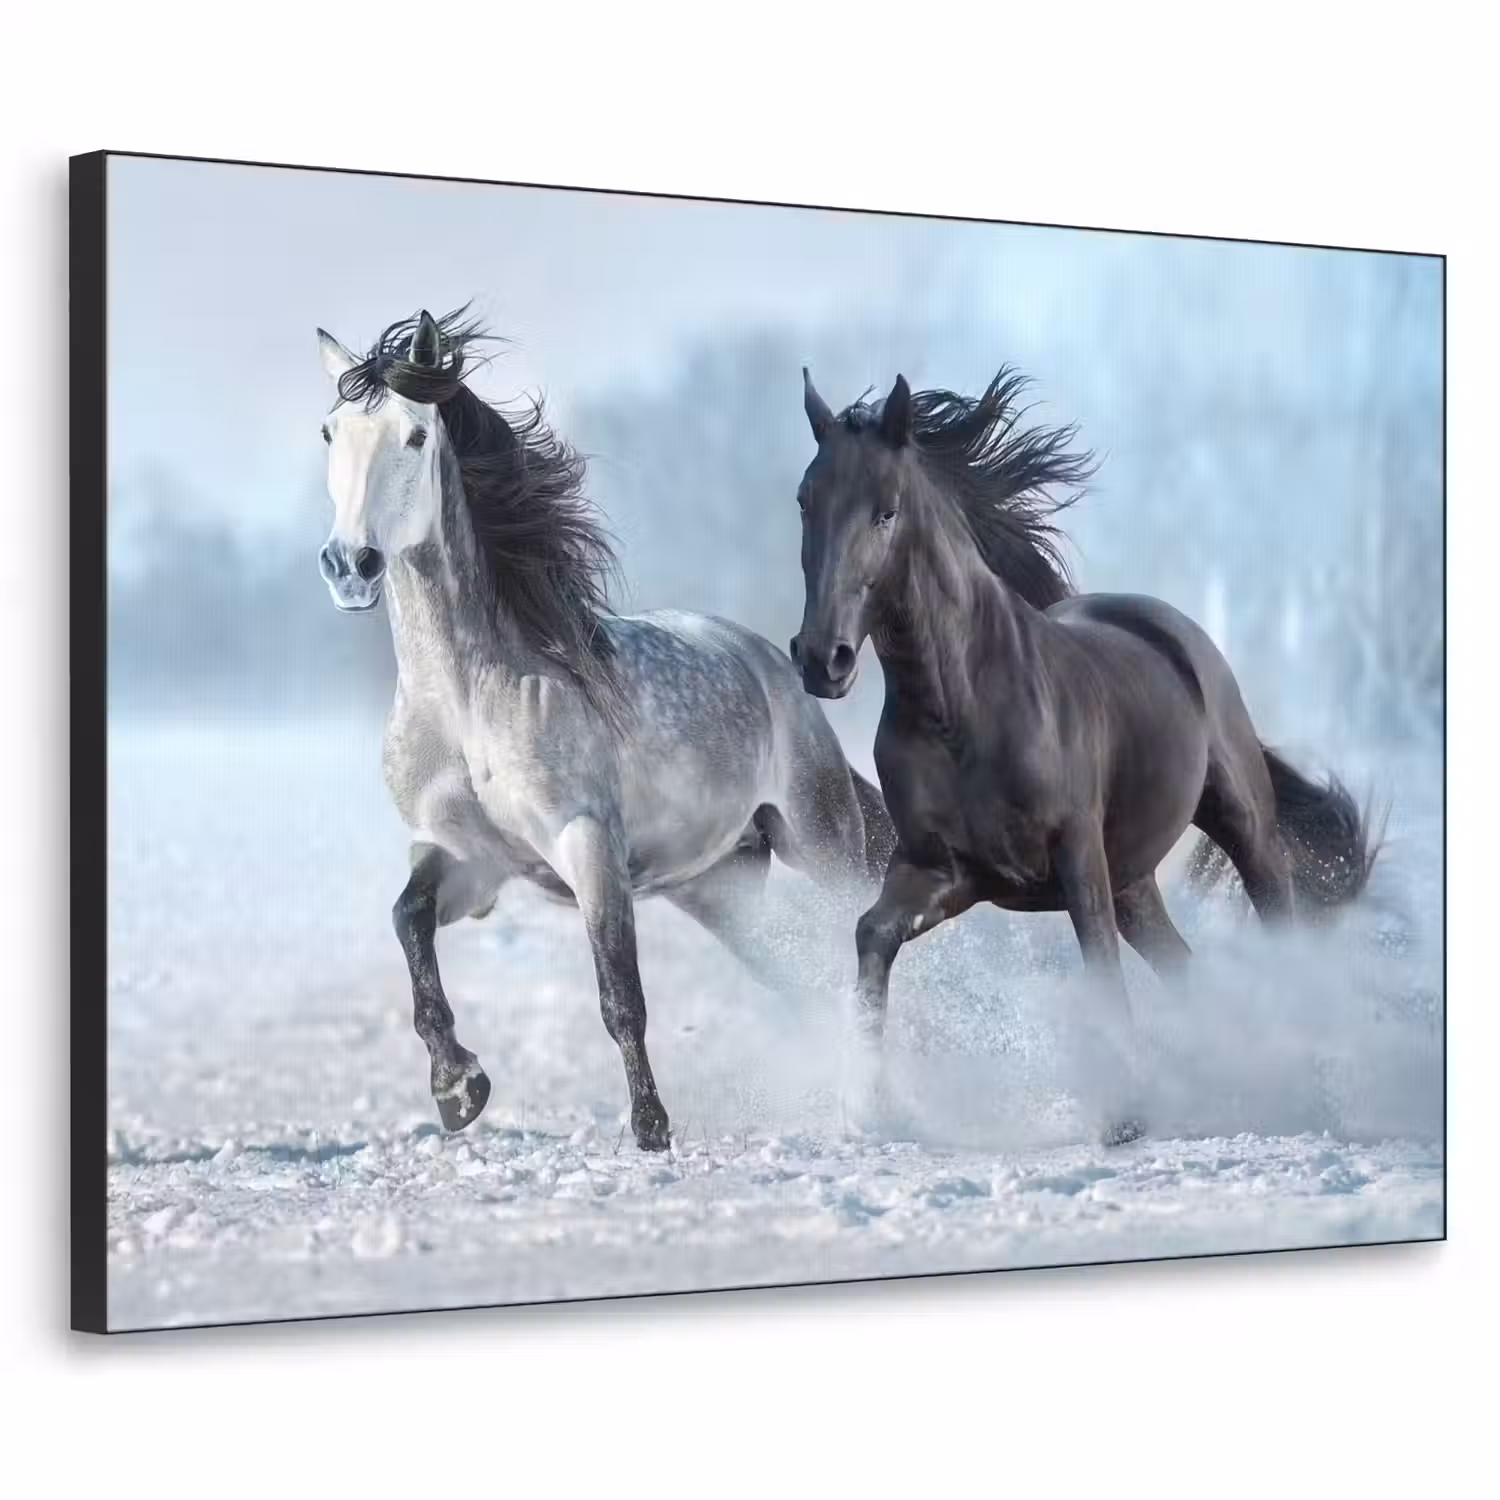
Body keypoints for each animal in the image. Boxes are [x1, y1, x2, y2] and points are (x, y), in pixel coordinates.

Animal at [314, 307, 894, 1151]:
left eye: (416, 436)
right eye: (331, 431)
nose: (349, 565)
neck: (467, 702)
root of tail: (771, 662)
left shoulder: (586, 844)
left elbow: (620, 993)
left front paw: (651, 1129)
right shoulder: (468, 858)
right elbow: (408, 922)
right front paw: (459, 1088)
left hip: (821, 843)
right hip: (718, 887)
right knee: (803, 974)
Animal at [790, 365, 1379, 1143]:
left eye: (885, 513)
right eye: (805, 501)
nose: (820, 658)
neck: (962, 708)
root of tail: (1171, 628)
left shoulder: (1074, 854)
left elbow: (1098, 968)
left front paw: (1126, 1117)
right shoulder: (945, 870)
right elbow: (872, 934)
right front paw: (869, 1105)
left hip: (1238, 825)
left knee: (1276, 923)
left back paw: (1307, 1091)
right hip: (1133, 881)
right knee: (1184, 966)